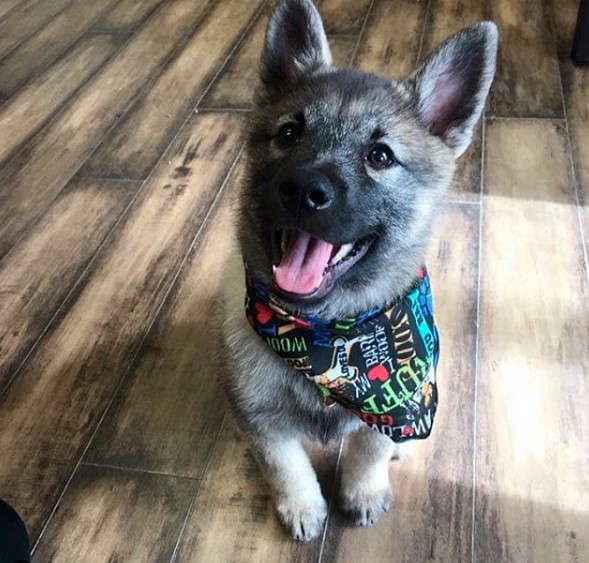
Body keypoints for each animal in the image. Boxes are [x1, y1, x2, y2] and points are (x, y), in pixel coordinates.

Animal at [216, 0, 496, 540]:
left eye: (380, 156)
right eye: (289, 133)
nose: (303, 190)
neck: (329, 336)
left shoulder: (391, 409)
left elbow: (371, 449)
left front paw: (364, 491)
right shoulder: (262, 419)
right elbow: (284, 465)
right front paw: (301, 506)